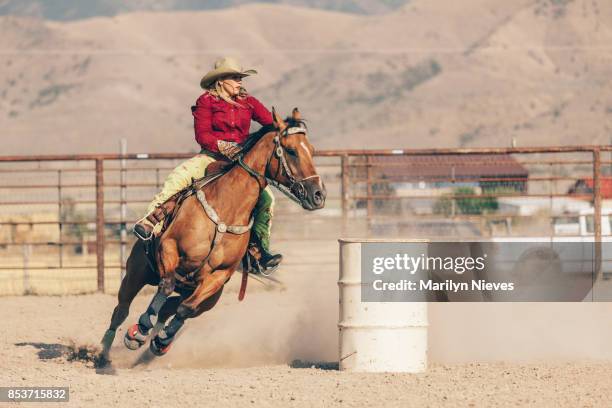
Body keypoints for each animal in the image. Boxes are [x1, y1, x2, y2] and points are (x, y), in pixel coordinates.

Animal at [100, 108, 328, 360]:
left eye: (312, 150)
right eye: (291, 150)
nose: (318, 195)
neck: (226, 209)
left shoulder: (219, 276)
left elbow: (186, 309)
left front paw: (161, 340)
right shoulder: (169, 247)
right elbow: (165, 285)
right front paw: (140, 330)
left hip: (204, 295)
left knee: (172, 308)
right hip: (136, 272)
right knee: (121, 310)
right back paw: (104, 354)